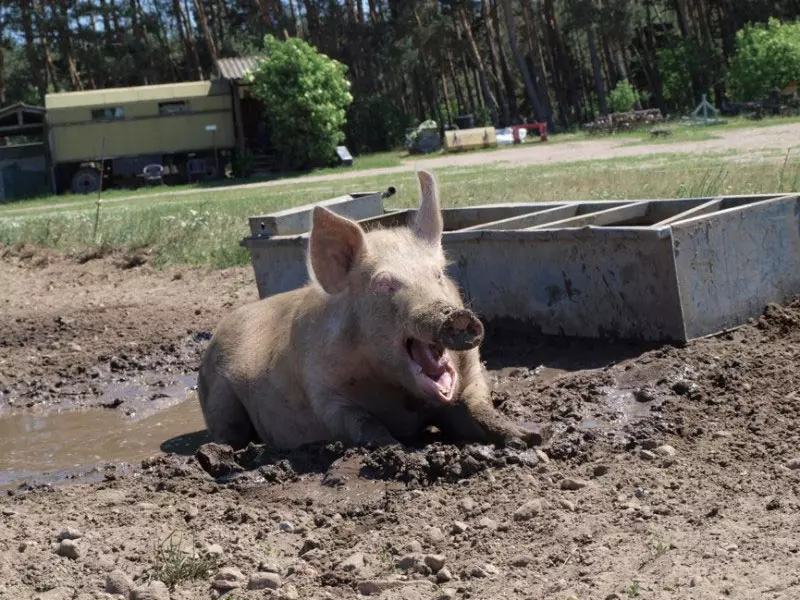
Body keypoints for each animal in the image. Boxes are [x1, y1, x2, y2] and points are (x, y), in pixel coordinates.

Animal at [198, 170, 536, 450]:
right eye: (384, 284)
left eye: (438, 274)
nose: (456, 315)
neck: (401, 396)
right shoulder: (323, 392)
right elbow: (361, 423)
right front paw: (395, 449)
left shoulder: (471, 376)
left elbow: (481, 409)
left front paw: (529, 437)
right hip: (218, 391)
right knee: (228, 431)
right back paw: (221, 454)